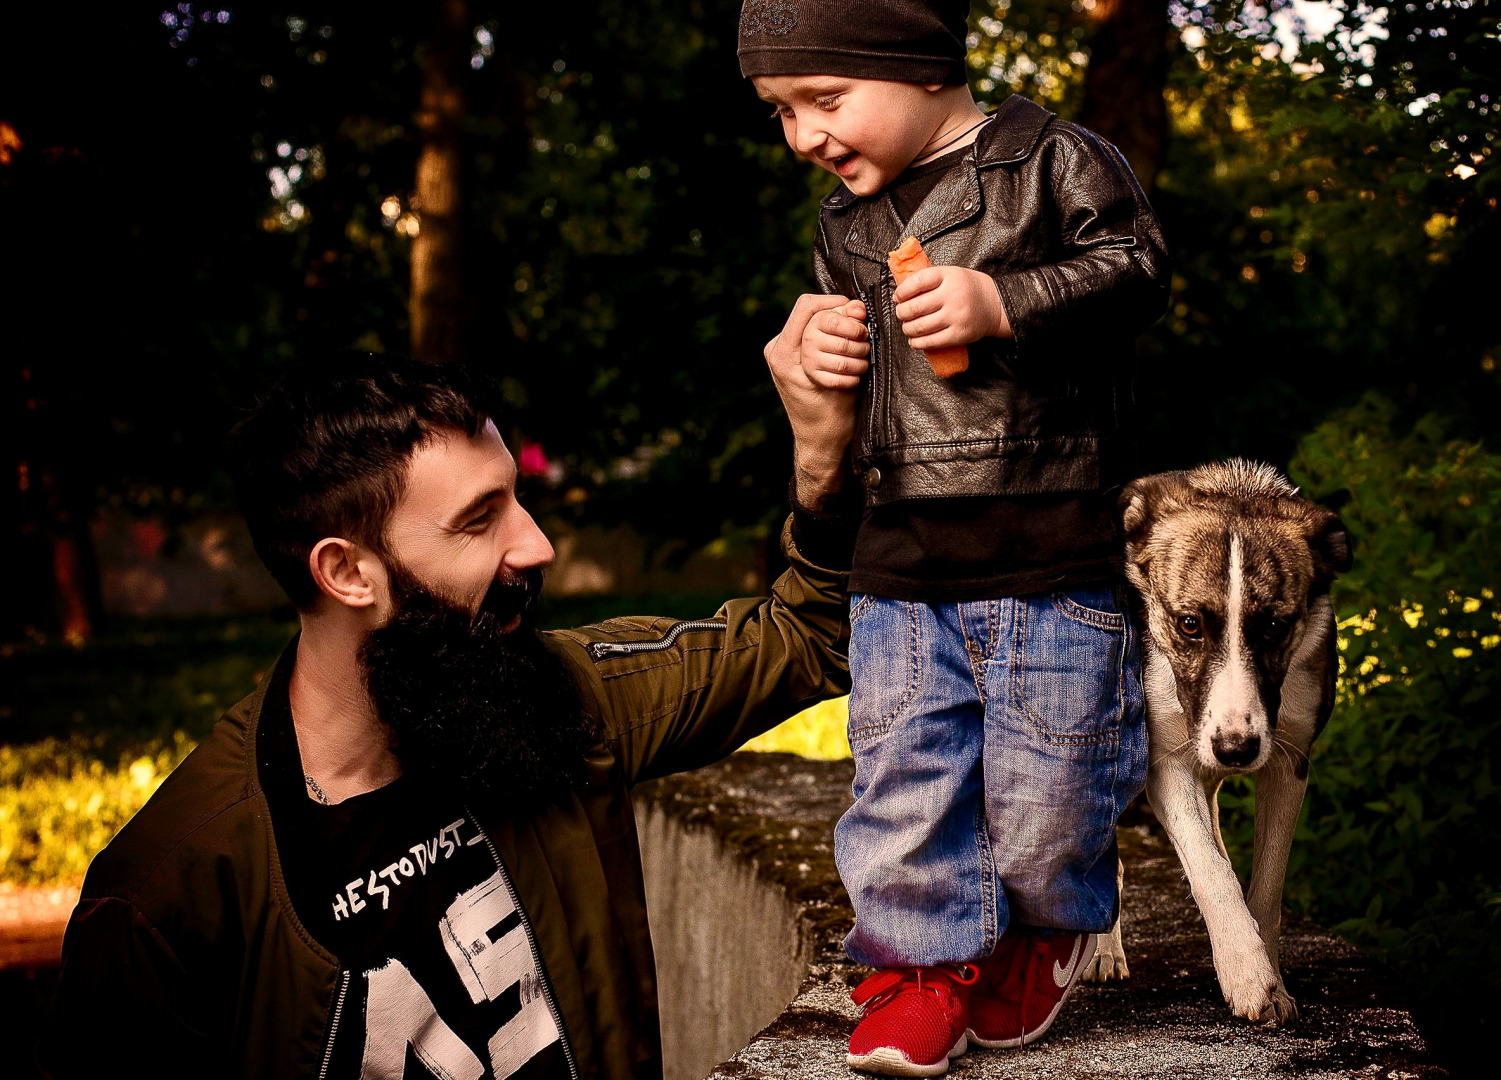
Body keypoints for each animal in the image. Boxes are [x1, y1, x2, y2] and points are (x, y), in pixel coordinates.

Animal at [1080, 459, 1350, 1026]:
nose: (1235, 749)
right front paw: (1248, 975)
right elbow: (1210, 871)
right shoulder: (1165, 766)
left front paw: (1266, 974)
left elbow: (1264, 886)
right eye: (1189, 624)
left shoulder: (1289, 763)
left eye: (1274, 625)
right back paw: (1103, 950)